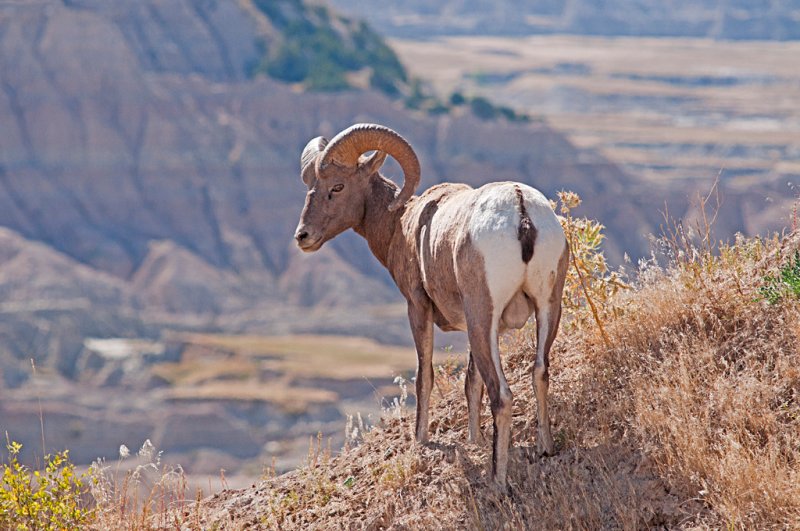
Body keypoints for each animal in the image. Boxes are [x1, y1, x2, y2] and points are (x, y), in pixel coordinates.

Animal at [294, 123, 568, 486]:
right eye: (310, 188)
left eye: (337, 186)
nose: (303, 236)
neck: (401, 224)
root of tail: (521, 211)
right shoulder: (476, 324)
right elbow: (471, 382)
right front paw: (475, 440)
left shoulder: (418, 308)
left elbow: (425, 376)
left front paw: (421, 439)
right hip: (546, 308)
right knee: (539, 372)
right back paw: (545, 448)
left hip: (484, 318)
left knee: (502, 395)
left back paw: (496, 480)